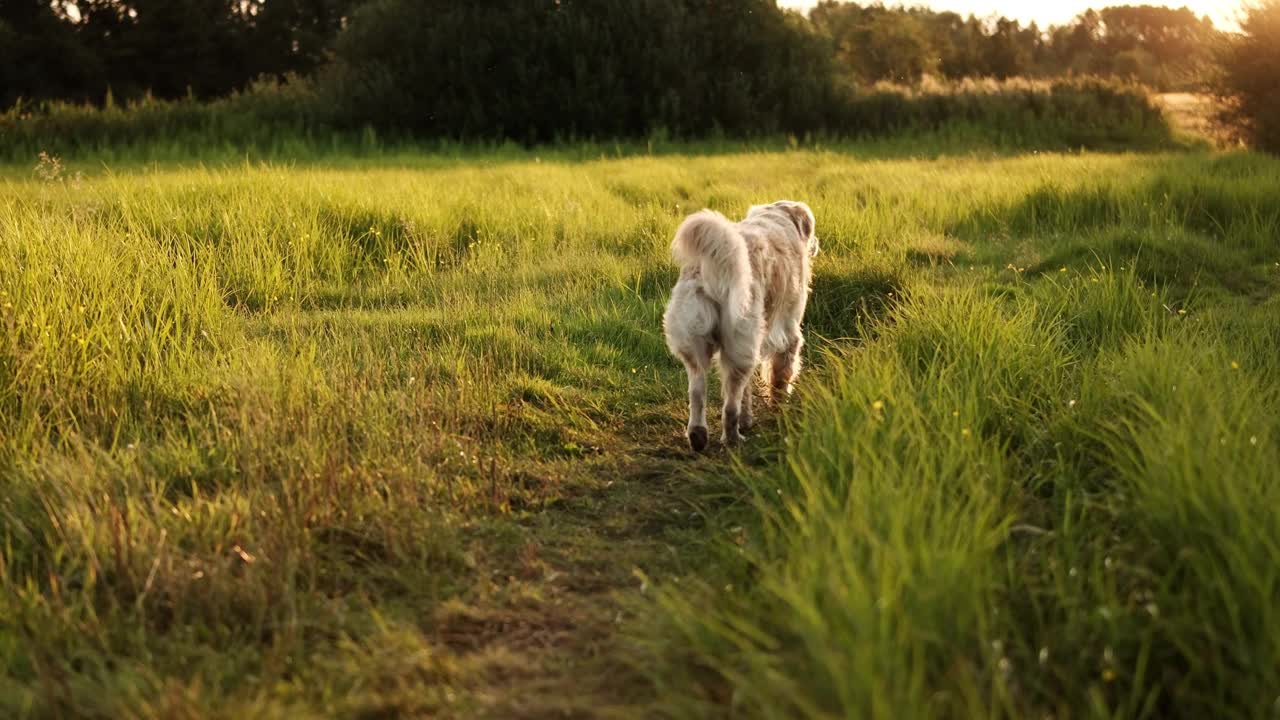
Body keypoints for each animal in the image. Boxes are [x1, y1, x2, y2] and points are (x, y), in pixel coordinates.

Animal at [660, 198, 819, 450]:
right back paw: (733, 438)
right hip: (739, 343)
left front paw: (748, 419)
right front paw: (778, 409)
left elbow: (749, 390)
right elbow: (781, 377)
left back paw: (698, 435)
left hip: (697, 344)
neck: (777, 216)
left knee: (698, 392)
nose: (815, 244)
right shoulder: (789, 333)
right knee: (730, 405)